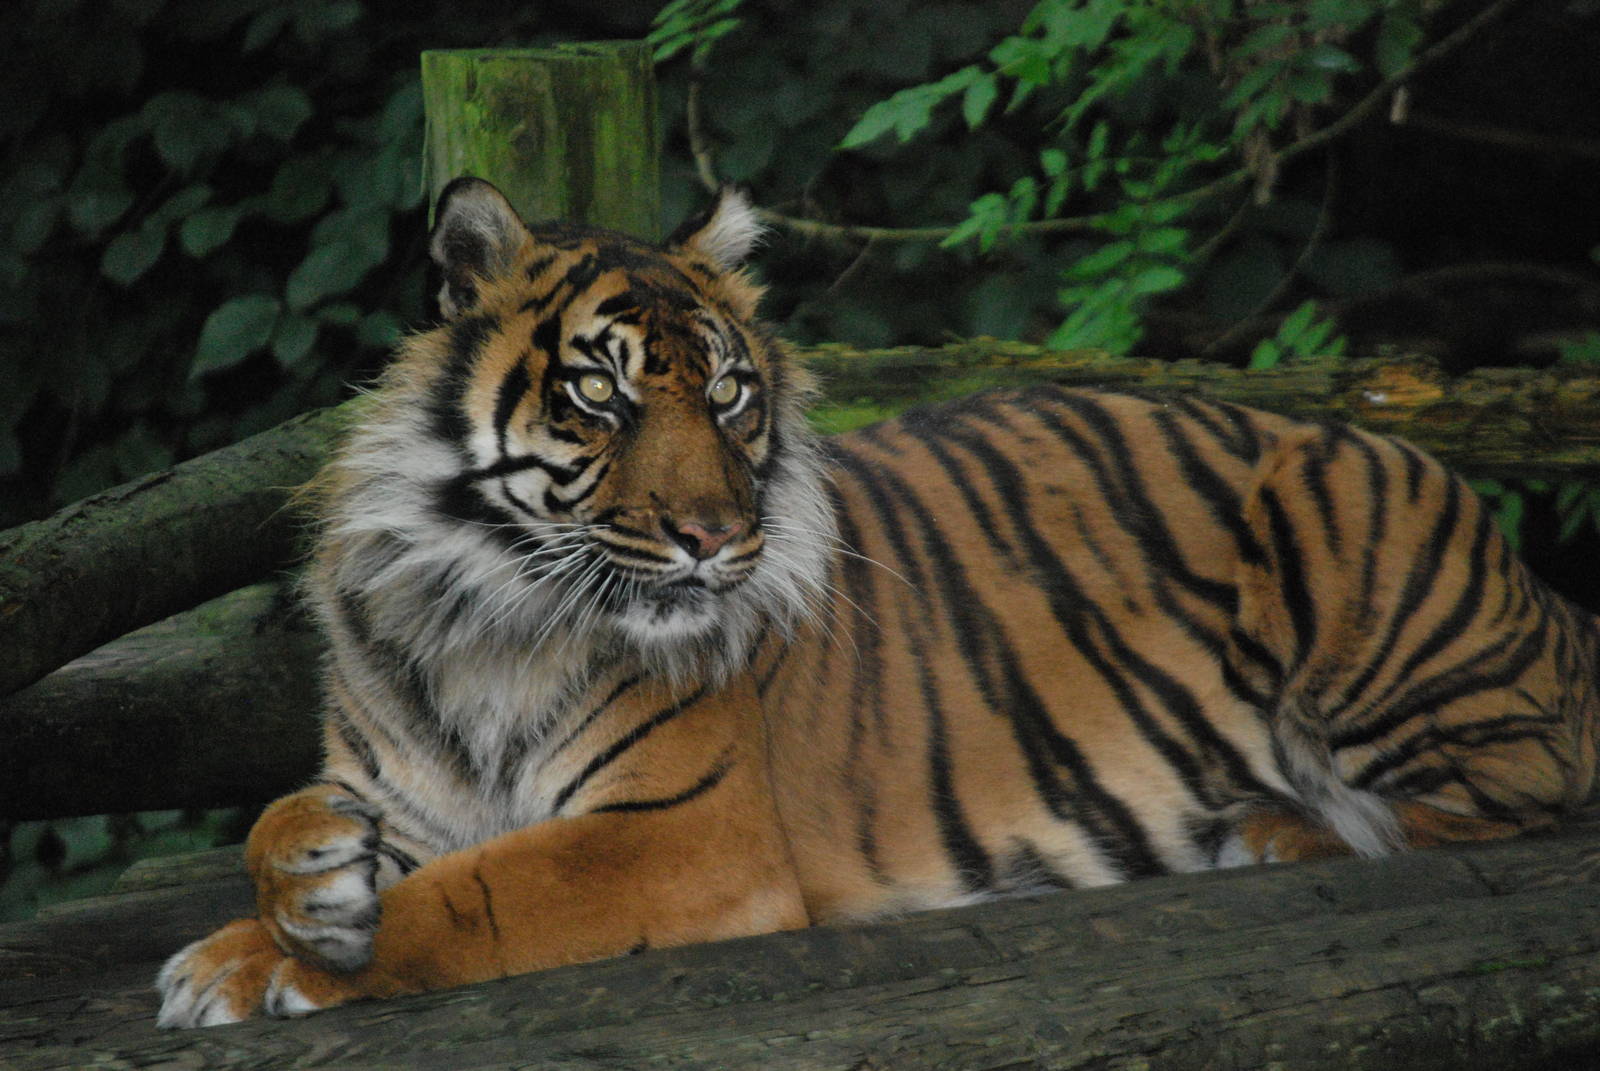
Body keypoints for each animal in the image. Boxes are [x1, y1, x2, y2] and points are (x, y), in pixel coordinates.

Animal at [156, 175, 1600, 1028]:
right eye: (602, 395)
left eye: (727, 393)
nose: (715, 539)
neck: (489, 613)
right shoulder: (403, 789)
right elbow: (293, 829)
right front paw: (286, 900)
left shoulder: (678, 832)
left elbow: (479, 893)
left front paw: (265, 963)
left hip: (1345, 529)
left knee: (1505, 792)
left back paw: (1274, 829)